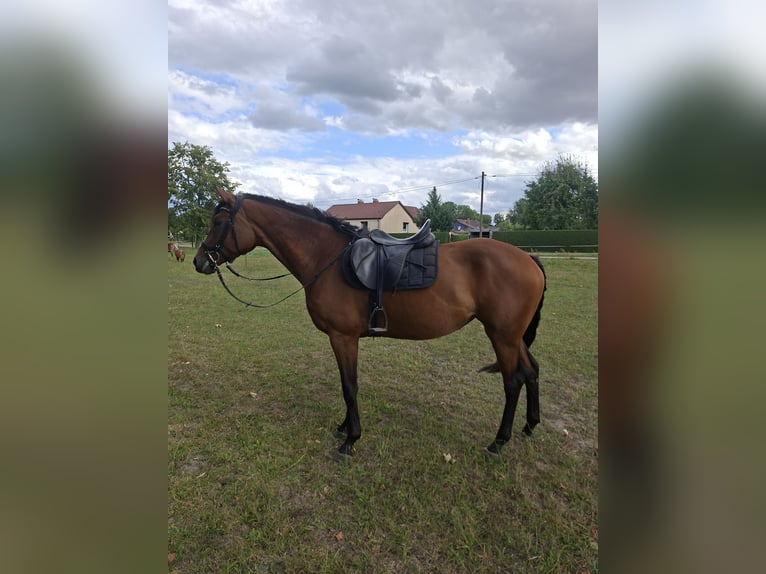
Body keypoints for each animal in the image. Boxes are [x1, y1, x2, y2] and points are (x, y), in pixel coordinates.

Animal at [194, 187, 547, 459]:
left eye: (219, 221)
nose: (199, 261)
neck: (326, 257)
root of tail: (528, 259)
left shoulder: (343, 337)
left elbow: (349, 386)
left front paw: (351, 440)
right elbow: (346, 385)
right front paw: (343, 428)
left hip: (501, 335)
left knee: (513, 381)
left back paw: (499, 442)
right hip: (512, 336)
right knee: (531, 371)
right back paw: (529, 426)